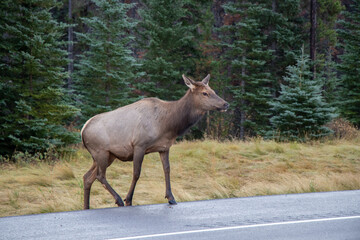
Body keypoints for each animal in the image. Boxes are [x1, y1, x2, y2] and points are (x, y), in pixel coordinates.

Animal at [80, 74, 229, 209]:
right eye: (205, 93)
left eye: (213, 91)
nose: (225, 104)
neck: (169, 125)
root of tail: (82, 130)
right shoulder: (139, 145)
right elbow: (136, 173)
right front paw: (129, 199)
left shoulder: (164, 147)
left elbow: (167, 169)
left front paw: (171, 198)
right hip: (101, 151)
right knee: (100, 175)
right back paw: (119, 200)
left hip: (108, 155)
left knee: (88, 177)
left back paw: (87, 207)